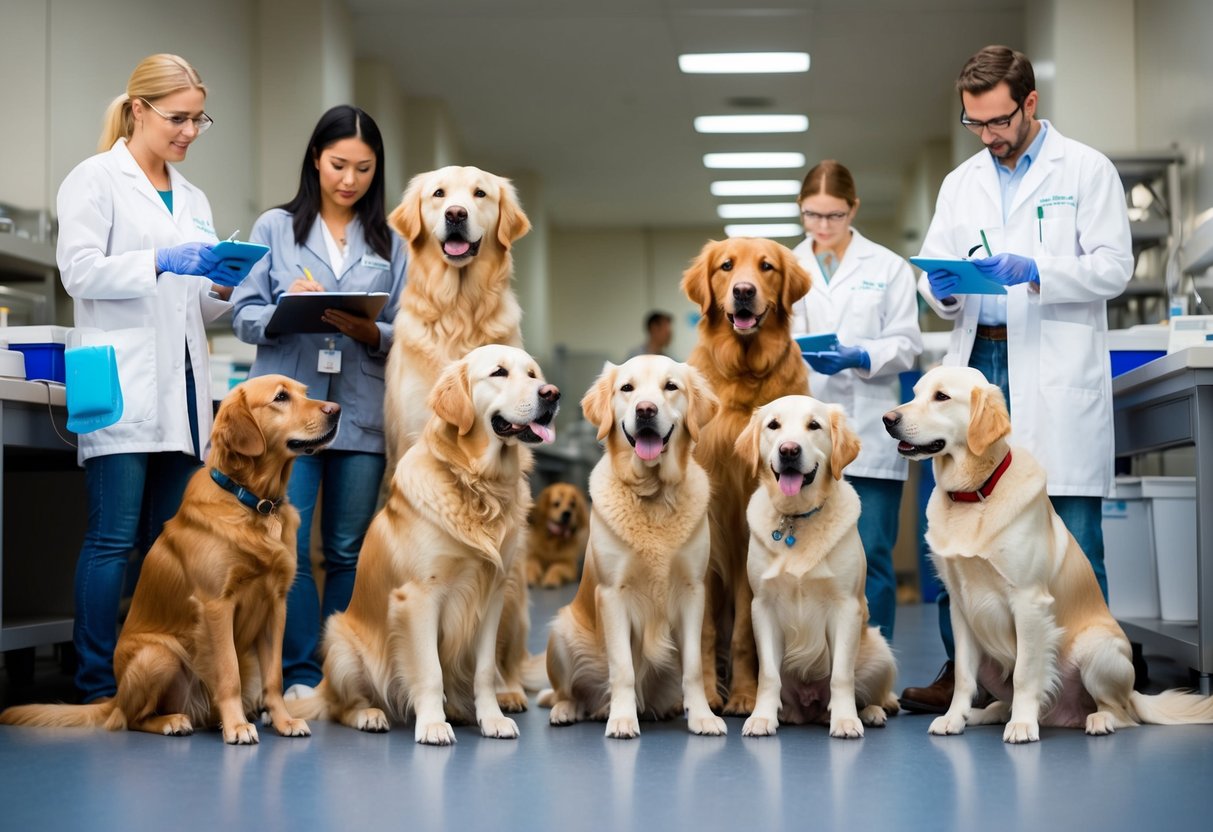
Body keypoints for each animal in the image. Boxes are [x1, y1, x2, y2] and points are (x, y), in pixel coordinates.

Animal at [283, 344, 555, 742]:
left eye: (533, 374)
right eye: (499, 373)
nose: (552, 394)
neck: (476, 485)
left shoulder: (492, 596)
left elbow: (485, 671)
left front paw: (491, 718)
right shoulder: (419, 597)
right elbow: (430, 672)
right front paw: (432, 724)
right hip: (340, 642)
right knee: (341, 707)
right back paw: (370, 715)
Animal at [543, 354, 727, 742]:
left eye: (670, 386)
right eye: (627, 388)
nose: (645, 410)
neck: (652, 494)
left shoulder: (693, 592)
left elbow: (693, 667)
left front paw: (702, 717)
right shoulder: (613, 594)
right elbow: (623, 669)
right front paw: (623, 720)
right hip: (561, 632)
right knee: (569, 691)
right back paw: (572, 710)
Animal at [727, 397, 902, 742]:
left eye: (814, 425)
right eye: (773, 425)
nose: (789, 450)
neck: (796, 519)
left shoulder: (845, 607)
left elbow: (842, 676)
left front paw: (846, 721)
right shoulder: (763, 607)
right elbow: (769, 675)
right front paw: (761, 718)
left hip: (879, 650)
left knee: (866, 693)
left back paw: (871, 712)